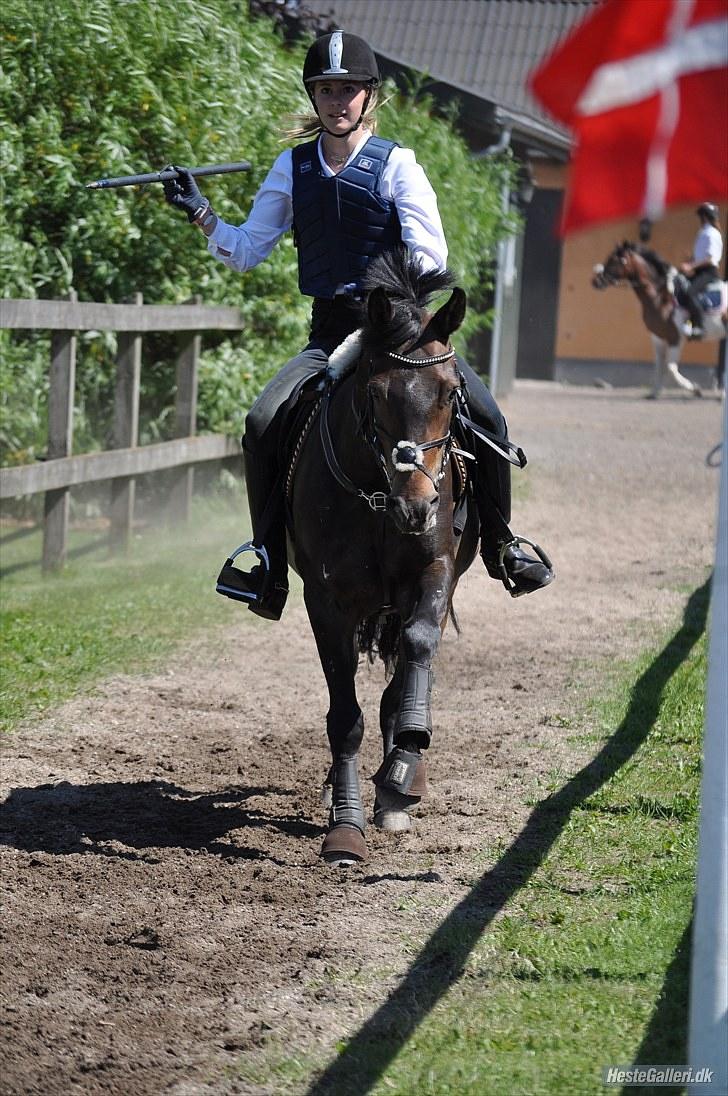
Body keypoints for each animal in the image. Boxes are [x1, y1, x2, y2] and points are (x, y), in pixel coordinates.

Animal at [287, 248, 480, 863]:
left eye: (450, 391)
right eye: (374, 395)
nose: (417, 507)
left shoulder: (435, 574)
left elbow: (414, 655)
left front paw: (401, 771)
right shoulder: (327, 600)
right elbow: (344, 716)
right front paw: (344, 825)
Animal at [596, 240, 723, 398]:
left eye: (615, 261)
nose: (596, 281)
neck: (660, 297)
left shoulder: (675, 338)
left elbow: (671, 368)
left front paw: (695, 388)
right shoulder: (658, 338)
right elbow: (659, 366)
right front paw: (654, 392)